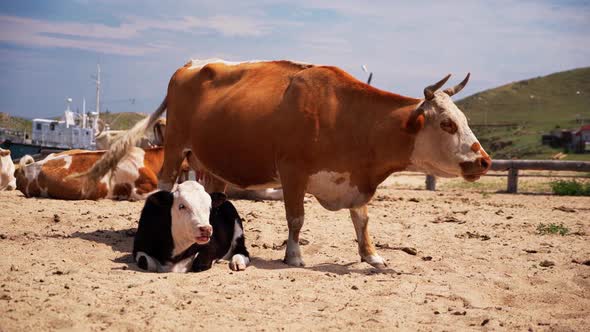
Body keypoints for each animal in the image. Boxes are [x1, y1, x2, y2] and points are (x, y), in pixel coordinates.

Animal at [81, 58, 492, 268]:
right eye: (447, 123)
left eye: (464, 119)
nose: (484, 160)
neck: (342, 114)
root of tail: (191, 65)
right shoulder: (293, 171)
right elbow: (296, 217)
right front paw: (294, 255)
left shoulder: (355, 179)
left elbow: (361, 219)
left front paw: (372, 255)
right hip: (176, 145)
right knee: (167, 183)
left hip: (209, 160)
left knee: (212, 189)